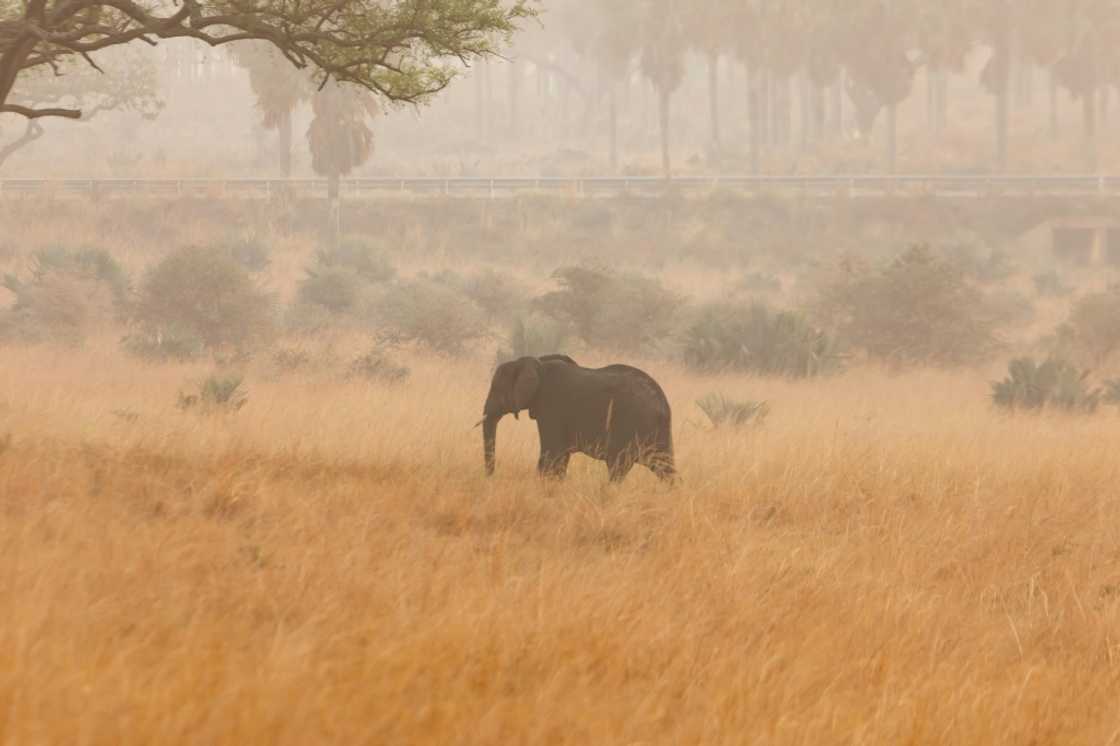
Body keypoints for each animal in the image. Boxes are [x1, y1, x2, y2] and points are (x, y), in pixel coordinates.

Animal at [479, 353, 672, 481]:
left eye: (497, 389)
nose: (491, 477)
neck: (537, 363)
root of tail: (662, 402)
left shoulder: (552, 407)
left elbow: (551, 454)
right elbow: (560, 457)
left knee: (618, 467)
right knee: (664, 467)